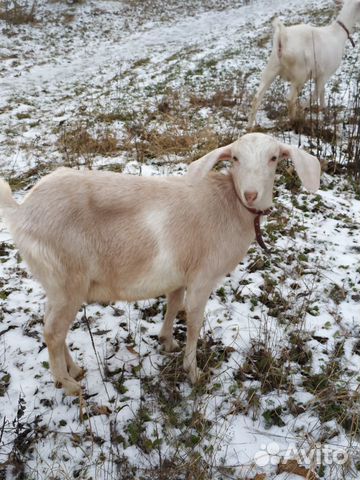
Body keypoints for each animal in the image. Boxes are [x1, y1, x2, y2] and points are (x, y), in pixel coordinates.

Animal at [0, 133, 320, 396]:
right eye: (236, 158)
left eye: (274, 158)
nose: (251, 194)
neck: (230, 204)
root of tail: (21, 211)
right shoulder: (203, 276)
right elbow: (193, 320)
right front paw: (193, 371)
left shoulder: (178, 273)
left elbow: (173, 303)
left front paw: (166, 341)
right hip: (67, 279)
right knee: (53, 332)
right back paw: (68, 383)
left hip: (56, 283)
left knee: (52, 325)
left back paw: (74, 370)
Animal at [246, 0, 360, 128]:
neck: (337, 34)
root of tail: (282, 37)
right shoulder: (324, 74)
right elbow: (316, 94)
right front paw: (304, 108)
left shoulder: (318, 75)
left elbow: (321, 93)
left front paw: (324, 112)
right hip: (299, 74)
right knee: (291, 100)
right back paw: (294, 121)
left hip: (272, 67)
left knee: (257, 98)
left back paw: (249, 127)